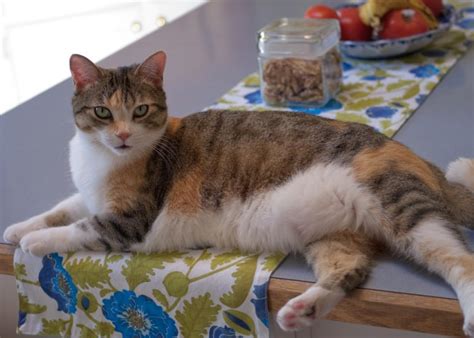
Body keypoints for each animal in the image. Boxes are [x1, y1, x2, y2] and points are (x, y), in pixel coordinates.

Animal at [3, 50, 474, 336]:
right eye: (102, 111)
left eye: (140, 110)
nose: (121, 135)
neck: (104, 161)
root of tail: (415, 156)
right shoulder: (89, 196)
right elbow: (62, 208)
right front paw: (18, 228)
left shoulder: (129, 220)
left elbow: (80, 227)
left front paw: (35, 241)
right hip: (332, 237)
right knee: (350, 270)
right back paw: (301, 310)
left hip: (405, 211)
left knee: (461, 262)